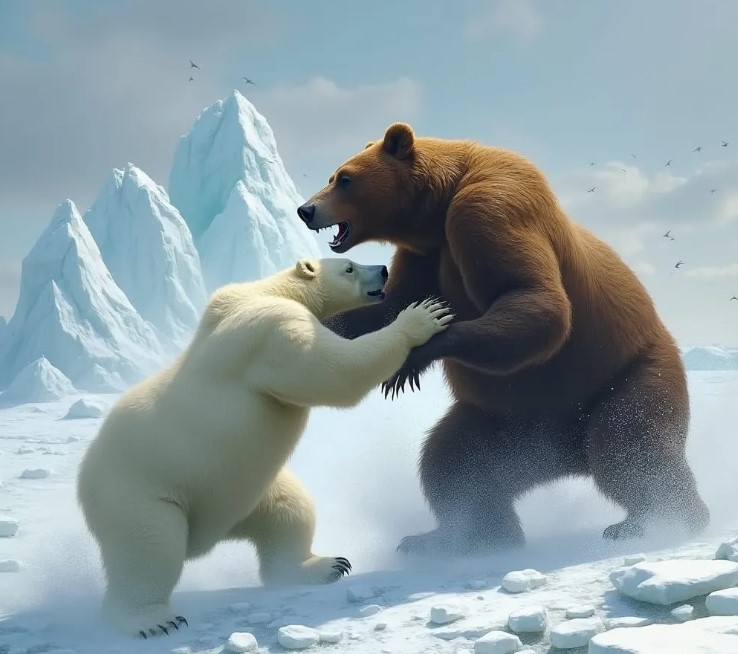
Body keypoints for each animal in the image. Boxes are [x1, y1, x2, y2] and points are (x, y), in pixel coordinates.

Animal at [76, 257, 452, 638]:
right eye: (349, 268)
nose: (382, 270)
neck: (266, 292)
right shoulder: (273, 330)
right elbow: (332, 370)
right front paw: (423, 317)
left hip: (248, 493)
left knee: (289, 510)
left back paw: (325, 565)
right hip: (140, 493)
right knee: (151, 547)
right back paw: (152, 620)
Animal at [295, 122, 710, 557]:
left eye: (344, 178)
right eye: (334, 175)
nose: (306, 210)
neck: (438, 206)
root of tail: (565, 457)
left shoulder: (490, 208)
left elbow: (533, 299)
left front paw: (415, 356)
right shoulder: (426, 252)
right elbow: (389, 306)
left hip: (631, 373)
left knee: (626, 444)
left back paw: (659, 521)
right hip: (504, 425)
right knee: (454, 464)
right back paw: (460, 536)